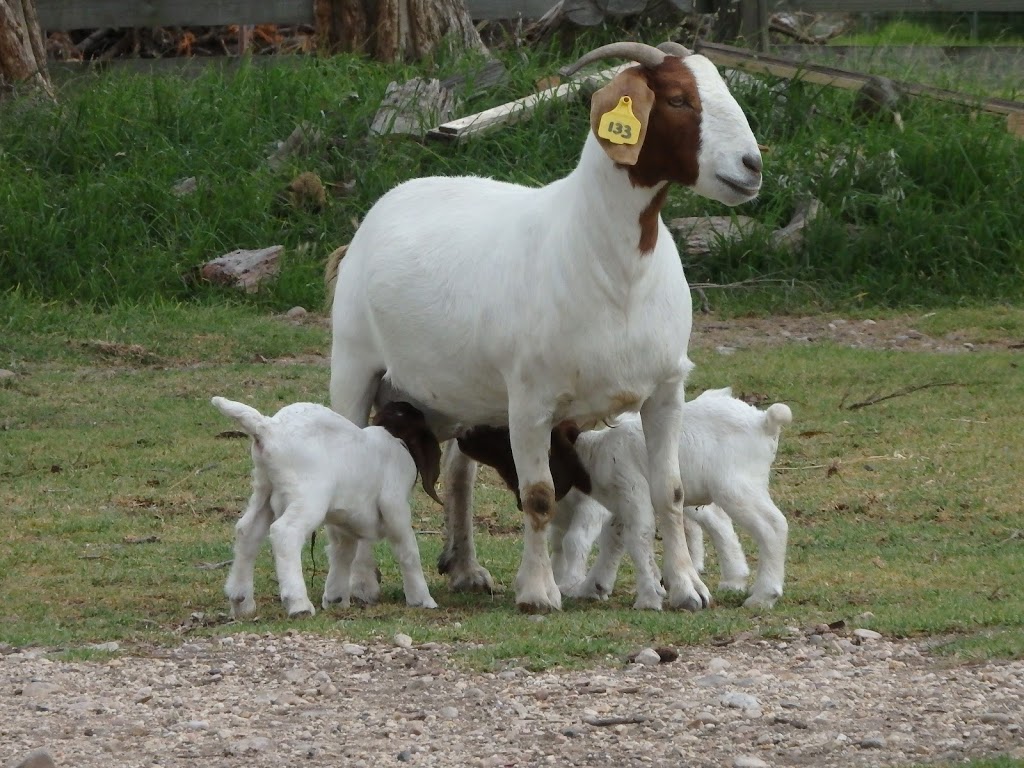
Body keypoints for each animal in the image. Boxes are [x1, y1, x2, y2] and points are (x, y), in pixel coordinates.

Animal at [327, 39, 761, 614]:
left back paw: (465, 569)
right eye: (677, 99)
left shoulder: (666, 391)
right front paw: (537, 593)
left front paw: (687, 589)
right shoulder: (531, 400)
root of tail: (388, 200)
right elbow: (538, 496)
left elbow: (669, 491)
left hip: (452, 398)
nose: (752, 166)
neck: (612, 268)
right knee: (359, 452)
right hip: (355, 365)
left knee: (457, 474)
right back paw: (361, 583)